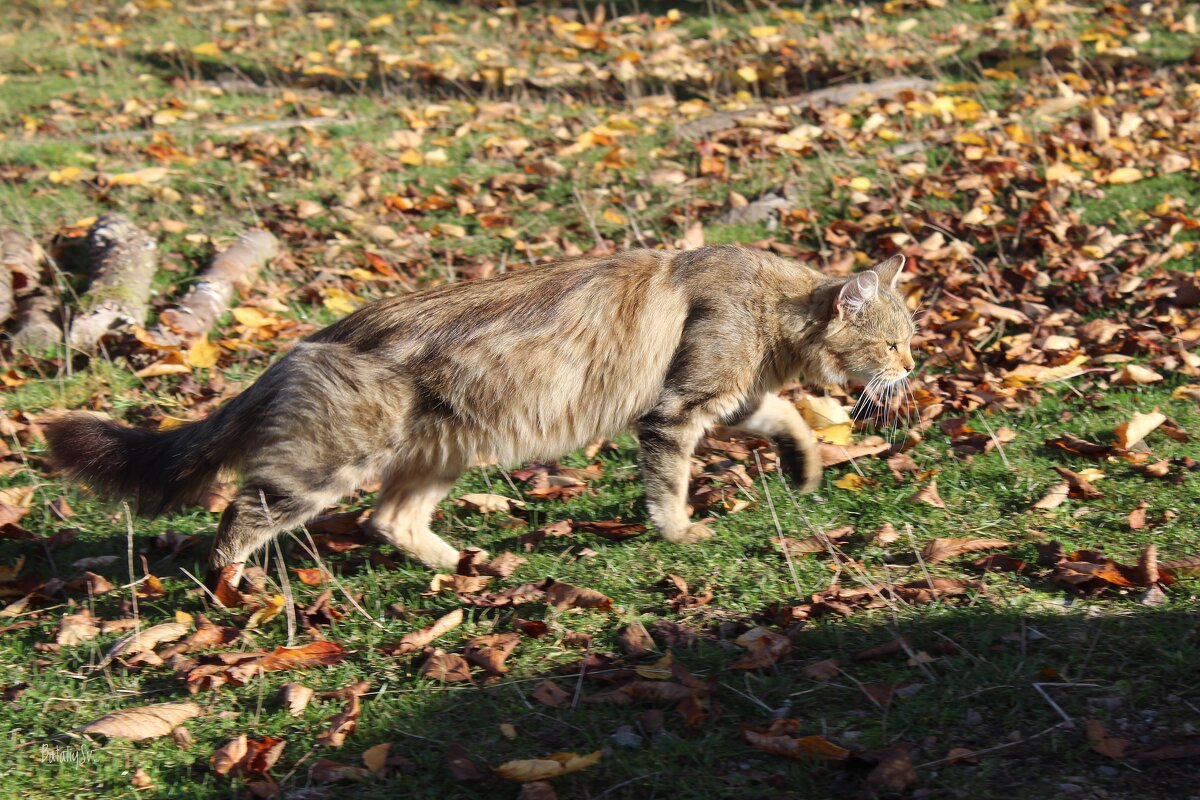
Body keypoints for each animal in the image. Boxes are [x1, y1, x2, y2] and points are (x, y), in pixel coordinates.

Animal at [42, 244, 912, 582]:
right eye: (895, 342)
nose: (914, 368)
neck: (769, 303)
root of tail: (309, 341)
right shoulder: (676, 409)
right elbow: (668, 487)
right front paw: (679, 532)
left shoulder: (733, 398)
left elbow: (789, 420)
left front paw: (805, 469)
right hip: (334, 462)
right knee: (241, 515)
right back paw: (235, 587)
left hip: (441, 453)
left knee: (386, 521)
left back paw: (463, 564)